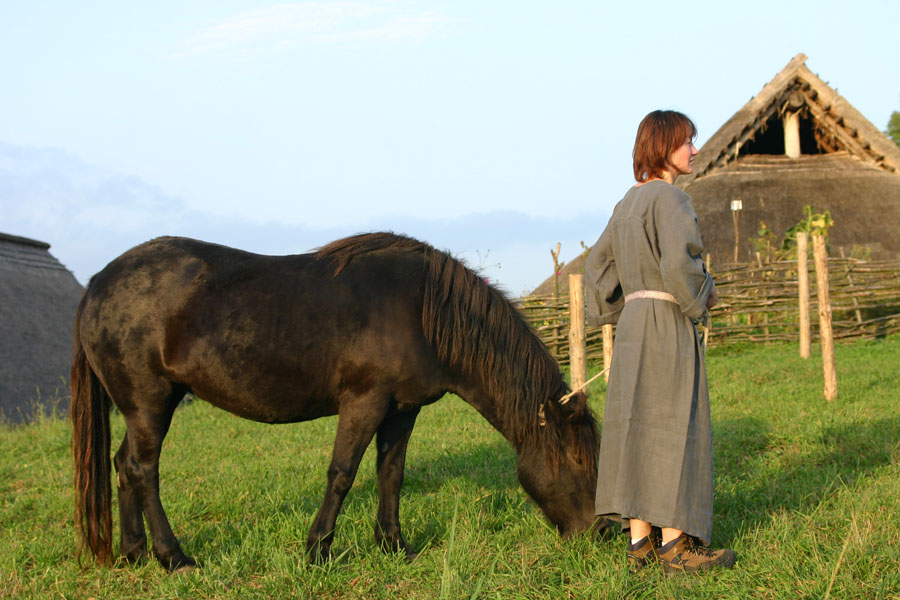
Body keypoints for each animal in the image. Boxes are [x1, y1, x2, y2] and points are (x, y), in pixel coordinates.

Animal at [72, 231, 604, 572]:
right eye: (580, 462)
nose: (604, 534)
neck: (420, 310)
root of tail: (99, 282)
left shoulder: (402, 410)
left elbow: (391, 475)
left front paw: (394, 546)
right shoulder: (365, 401)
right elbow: (342, 474)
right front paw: (318, 552)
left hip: (143, 406)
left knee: (123, 466)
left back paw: (135, 553)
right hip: (149, 402)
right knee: (143, 470)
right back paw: (174, 557)